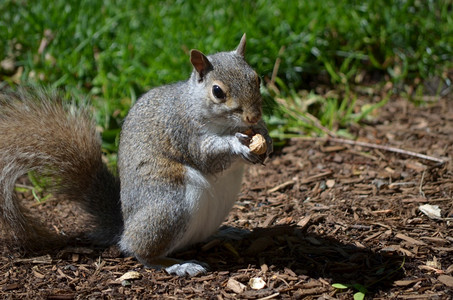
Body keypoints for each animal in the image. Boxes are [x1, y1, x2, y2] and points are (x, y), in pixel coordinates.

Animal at [0, 33, 272, 276]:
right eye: (217, 91)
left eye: (256, 78)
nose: (253, 116)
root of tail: (125, 227)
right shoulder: (182, 130)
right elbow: (206, 156)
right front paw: (236, 145)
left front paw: (266, 138)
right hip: (170, 206)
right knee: (138, 251)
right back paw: (176, 264)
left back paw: (224, 232)